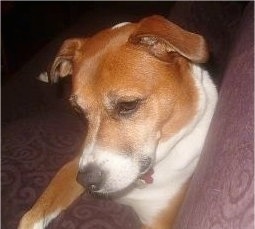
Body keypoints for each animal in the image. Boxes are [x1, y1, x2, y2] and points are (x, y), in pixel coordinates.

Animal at [18, 15, 217, 228]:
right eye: (79, 111)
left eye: (128, 105)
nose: (87, 181)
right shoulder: (73, 165)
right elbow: (31, 215)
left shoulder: (160, 221)